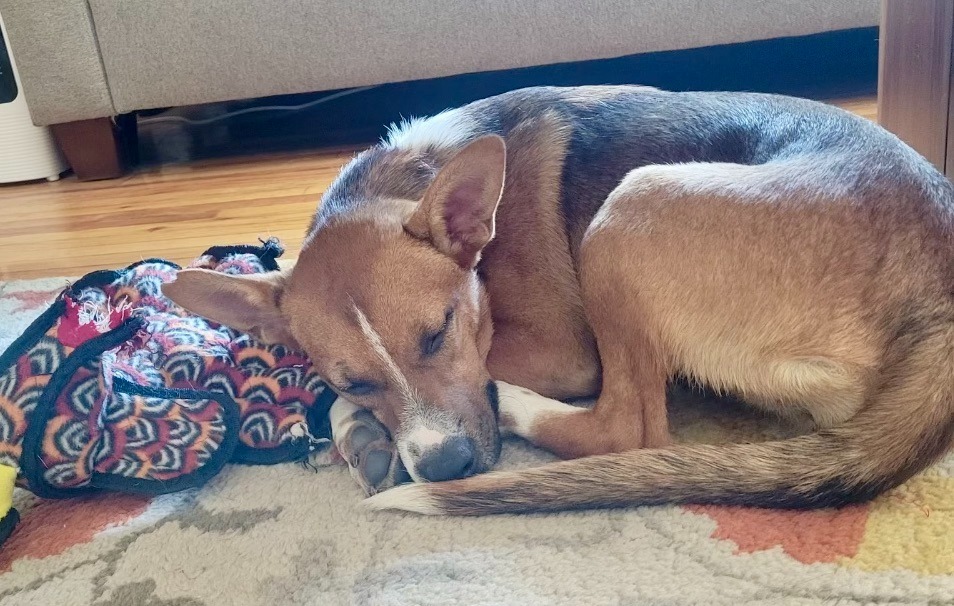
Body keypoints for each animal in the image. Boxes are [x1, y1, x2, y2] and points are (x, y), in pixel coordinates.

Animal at [167, 85, 952, 516]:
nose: (446, 466)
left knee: (629, 429)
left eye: (439, 331)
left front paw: (358, 427)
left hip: (634, 203)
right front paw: (359, 427)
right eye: (356, 375)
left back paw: (515, 405)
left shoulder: (563, 350)